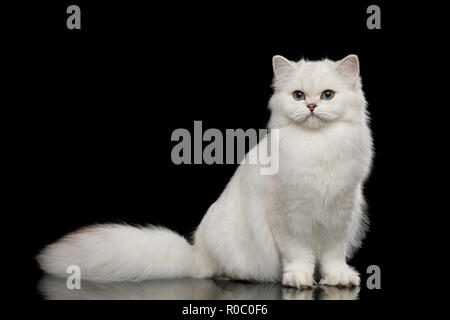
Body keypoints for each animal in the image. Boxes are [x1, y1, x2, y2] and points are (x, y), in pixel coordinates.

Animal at [37, 54, 372, 288]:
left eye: (327, 95)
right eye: (298, 96)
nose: (312, 106)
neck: (319, 146)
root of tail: (196, 252)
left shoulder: (340, 217)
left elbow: (332, 258)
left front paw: (338, 279)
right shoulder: (289, 219)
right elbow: (300, 256)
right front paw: (300, 279)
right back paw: (233, 275)